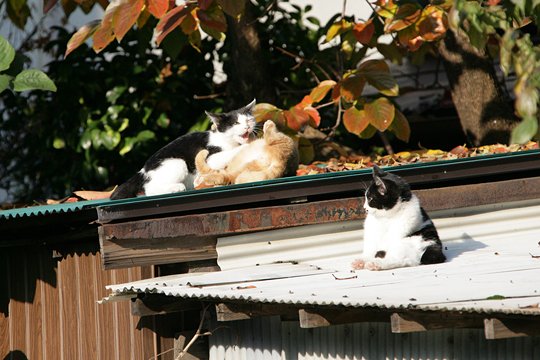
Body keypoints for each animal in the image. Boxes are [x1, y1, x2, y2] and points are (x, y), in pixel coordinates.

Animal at [110, 100, 258, 200]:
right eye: (236, 123)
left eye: (249, 120)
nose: (247, 127)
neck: (228, 141)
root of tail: (143, 170)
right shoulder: (209, 158)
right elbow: (226, 155)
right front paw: (248, 146)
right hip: (177, 162)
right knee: (150, 190)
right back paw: (177, 187)